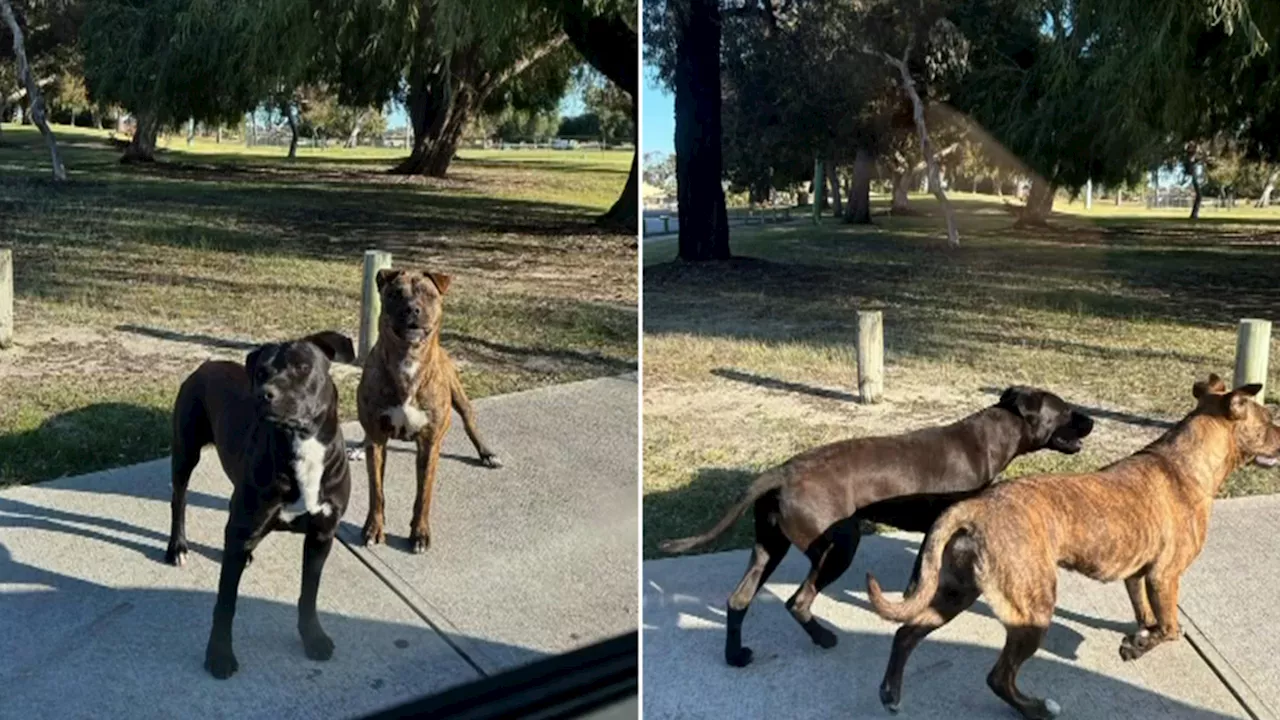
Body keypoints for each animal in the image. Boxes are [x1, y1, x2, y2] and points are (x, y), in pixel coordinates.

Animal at [166, 327, 355, 676]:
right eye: (261, 373)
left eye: (302, 367)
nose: (264, 394)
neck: (299, 443)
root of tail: (206, 365)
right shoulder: (243, 527)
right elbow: (225, 603)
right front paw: (219, 654)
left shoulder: (322, 534)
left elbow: (309, 594)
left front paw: (312, 637)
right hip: (185, 449)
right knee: (179, 500)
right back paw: (177, 547)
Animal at [360, 266, 504, 550]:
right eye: (395, 294)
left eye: (428, 294)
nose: (412, 309)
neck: (408, 360)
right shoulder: (378, 438)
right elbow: (376, 491)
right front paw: (374, 528)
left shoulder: (429, 443)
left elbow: (423, 494)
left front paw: (420, 533)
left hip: (458, 394)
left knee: (469, 421)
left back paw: (487, 453)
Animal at [660, 384, 1090, 666]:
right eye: (1066, 409)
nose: (1091, 421)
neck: (992, 436)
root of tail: (781, 472)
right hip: (840, 544)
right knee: (798, 600)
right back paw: (824, 637)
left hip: (770, 545)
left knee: (738, 600)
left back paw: (735, 655)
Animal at [870, 376, 1280, 717]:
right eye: (1268, 418)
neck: (1184, 460)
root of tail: (972, 507)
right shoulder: (1165, 576)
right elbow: (1169, 627)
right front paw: (1136, 646)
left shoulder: (1139, 576)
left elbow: (1148, 615)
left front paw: (1140, 635)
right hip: (1032, 608)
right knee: (999, 677)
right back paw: (1037, 709)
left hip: (955, 592)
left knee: (906, 633)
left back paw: (891, 693)